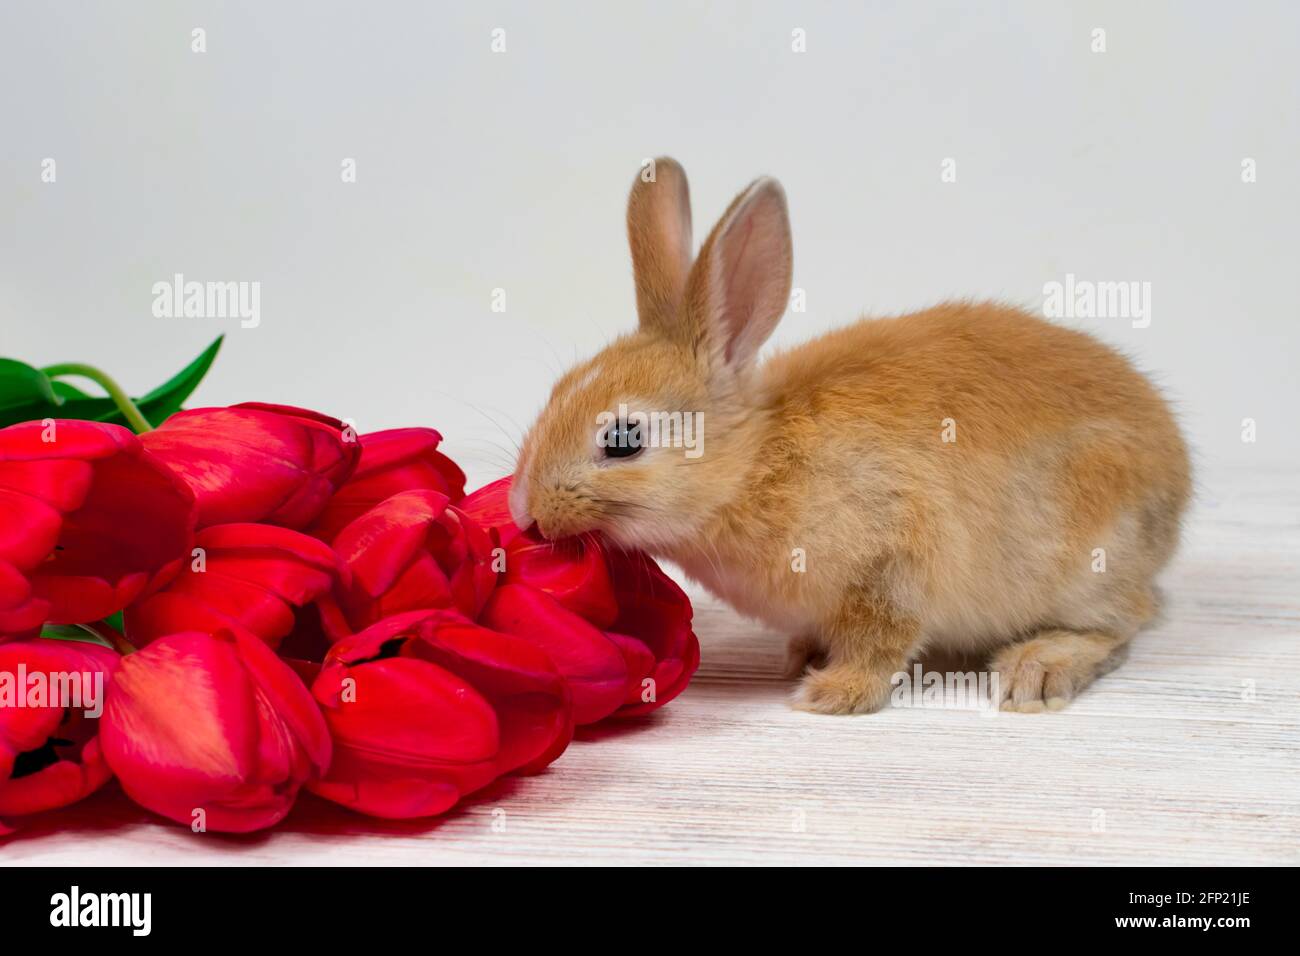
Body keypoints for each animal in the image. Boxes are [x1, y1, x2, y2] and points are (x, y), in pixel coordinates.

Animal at [504, 155, 1190, 712]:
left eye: (623, 439)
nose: (524, 511)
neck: (752, 468)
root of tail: (1178, 474)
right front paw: (803, 657)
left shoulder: (890, 563)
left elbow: (878, 642)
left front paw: (830, 695)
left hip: (1091, 560)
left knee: (1124, 620)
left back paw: (1037, 669)